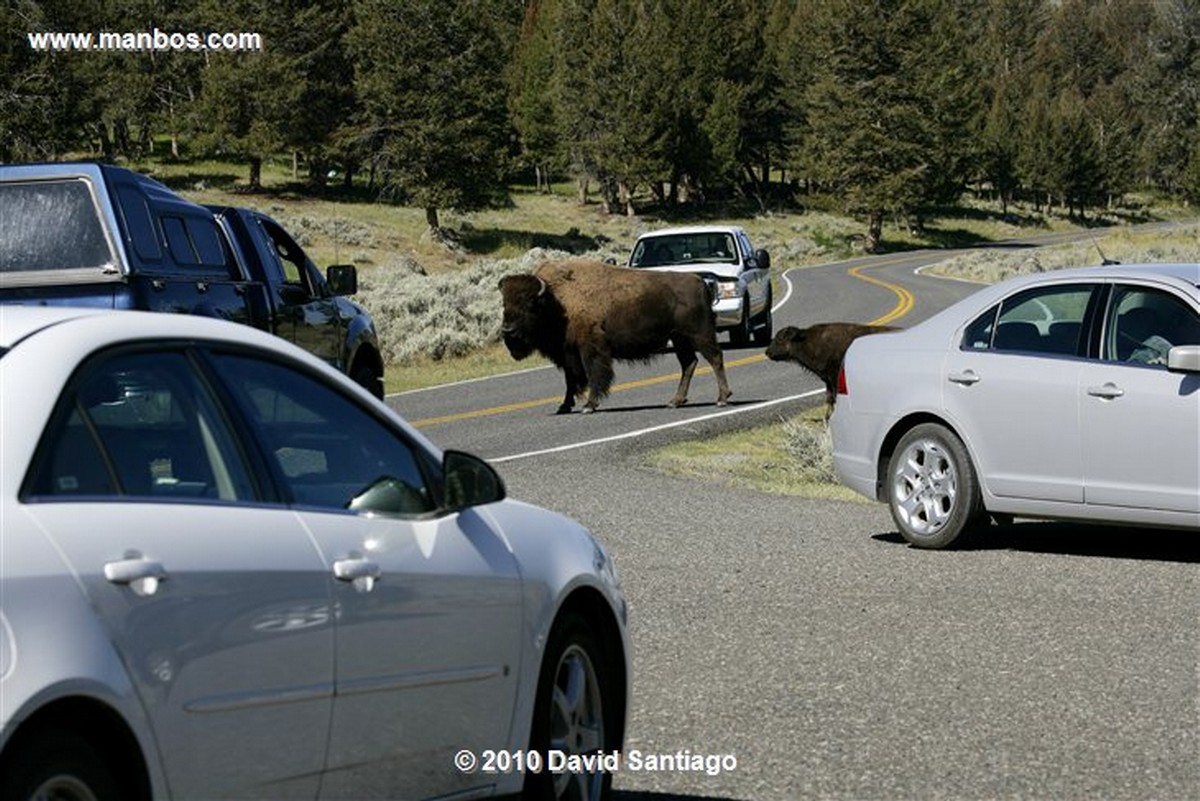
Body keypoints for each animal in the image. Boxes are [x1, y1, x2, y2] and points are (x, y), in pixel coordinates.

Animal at [496, 261, 729, 417]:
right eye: (504, 304)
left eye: (529, 304)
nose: (508, 330)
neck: (557, 301)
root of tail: (700, 282)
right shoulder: (566, 354)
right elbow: (570, 381)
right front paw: (564, 406)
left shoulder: (590, 349)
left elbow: (594, 376)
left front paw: (589, 406)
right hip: (680, 339)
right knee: (689, 364)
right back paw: (675, 401)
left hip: (700, 334)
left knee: (715, 358)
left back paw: (722, 399)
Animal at [768, 321, 902, 417]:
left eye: (780, 338)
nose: (767, 352)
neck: (808, 342)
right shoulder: (827, 380)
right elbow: (829, 398)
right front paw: (827, 418)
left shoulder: (834, 378)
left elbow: (834, 398)